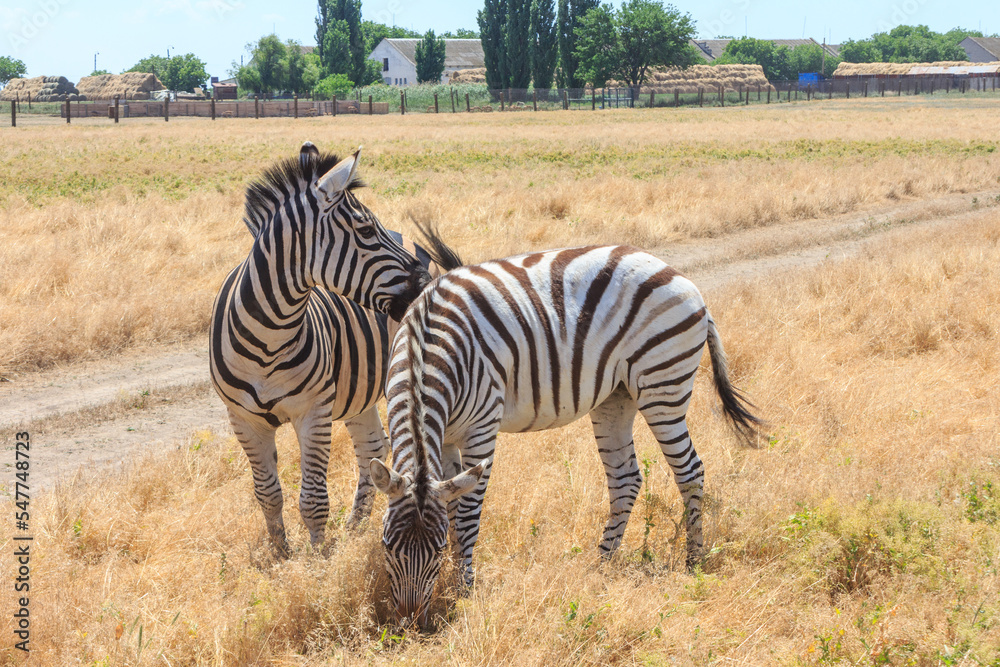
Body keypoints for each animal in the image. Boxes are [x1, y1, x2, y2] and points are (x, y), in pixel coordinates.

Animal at [210, 142, 436, 557]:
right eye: (366, 229)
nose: (425, 283)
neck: (268, 335)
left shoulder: (313, 411)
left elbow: (313, 499)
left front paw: (317, 560)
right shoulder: (243, 419)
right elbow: (267, 493)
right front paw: (281, 555)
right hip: (359, 391)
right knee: (372, 445)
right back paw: (355, 524)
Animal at [369, 242, 761, 624]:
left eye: (434, 551)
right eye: (387, 544)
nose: (411, 623)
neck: (425, 349)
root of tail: (679, 276)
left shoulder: (480, 428)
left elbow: (465, 516)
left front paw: (463, 591)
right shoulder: (448, 435)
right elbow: (452, 508)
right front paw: (454, 582)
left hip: (663, 384)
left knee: (690, 471)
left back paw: (693, 561)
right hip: (617, 397)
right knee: (626, 479)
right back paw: (601, 564)